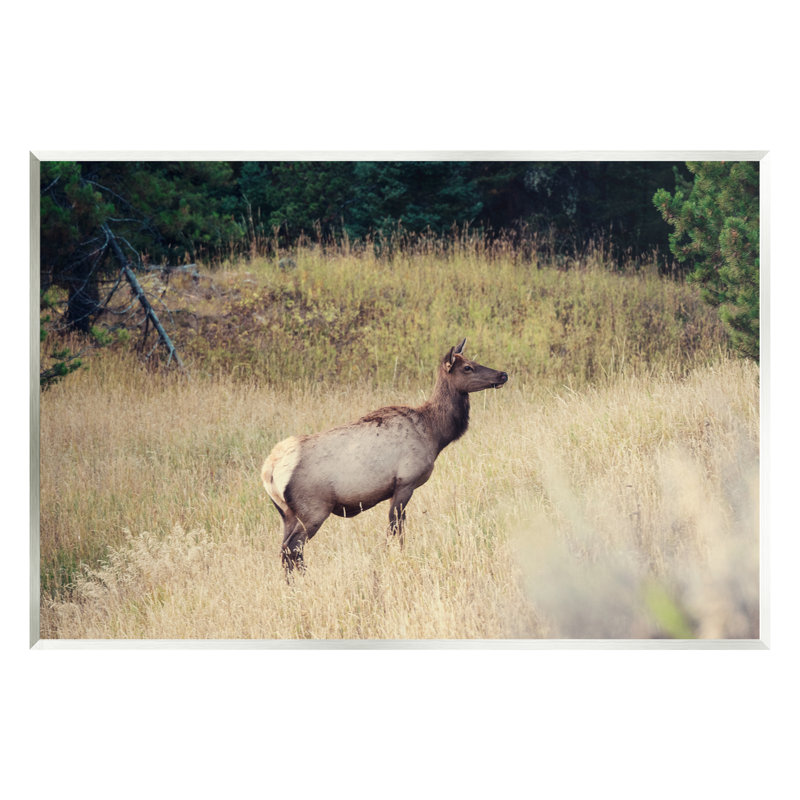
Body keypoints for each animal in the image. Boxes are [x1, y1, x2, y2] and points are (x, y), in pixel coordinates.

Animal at [261, 339, 508, 573]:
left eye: (472, 360)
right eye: (467, 367)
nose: (502, 374)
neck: (435, 434)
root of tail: (269, 470)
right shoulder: (405, 482)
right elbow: (395, 529)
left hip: (287, 513)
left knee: (285, 550)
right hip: (313, 509)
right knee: (292, 548)